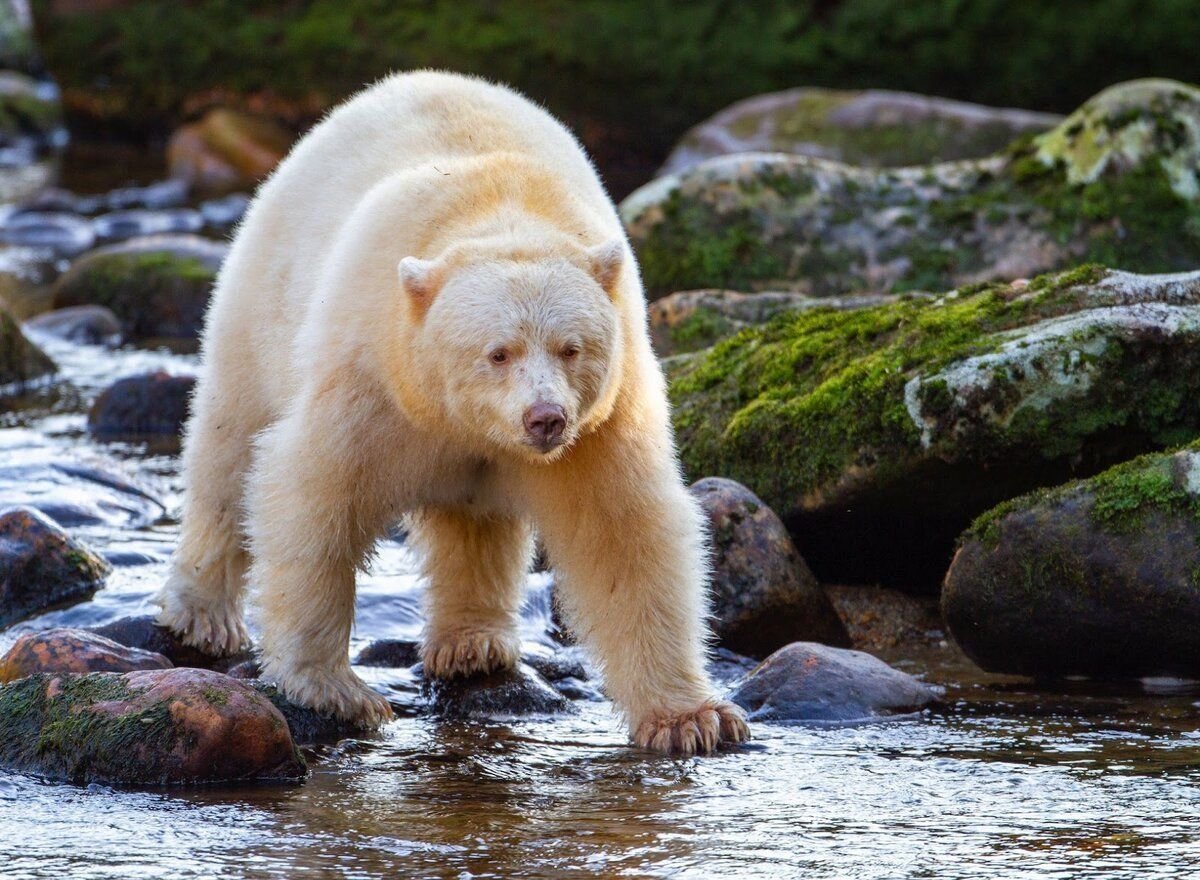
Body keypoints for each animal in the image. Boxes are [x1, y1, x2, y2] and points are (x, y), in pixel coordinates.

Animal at [154, 70, 744, 753]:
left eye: (572, 348)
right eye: (499, 352)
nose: (545, 418)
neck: (502, 212)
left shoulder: (604, 420)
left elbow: (624, 533)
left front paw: (693, 719)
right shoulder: (373, 377)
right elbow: (314, 497)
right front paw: (335, 690)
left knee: (475, 523)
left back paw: (472, 644)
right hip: (262, 297)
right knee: (229, 445)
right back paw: (203, 614)